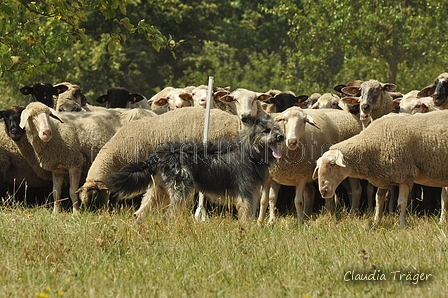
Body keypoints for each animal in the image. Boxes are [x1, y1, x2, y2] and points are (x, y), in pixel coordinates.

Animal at [18, 102, 156, 214]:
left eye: (48, 115)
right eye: (32, 116)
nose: (47, 133)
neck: (56, 130)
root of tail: (151, 113)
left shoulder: (75, 163)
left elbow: (72, 191)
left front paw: (76, 213)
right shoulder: (57, 168)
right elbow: (56, 192)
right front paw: (55, 213)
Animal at [106, 115, 284, 222]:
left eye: (277, 128)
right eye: (266, 130)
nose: (281, 136)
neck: (250, 151)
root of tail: (162, 153)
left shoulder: (252, 193)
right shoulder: (246, 193)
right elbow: (246, 215)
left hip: (158, 191)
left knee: (140, 212)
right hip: (181, 190)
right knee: (168, 215)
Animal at [314, 110, 448, 227]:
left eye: (332, 163)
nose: (323, 191)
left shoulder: (405, 174)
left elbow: (401, 204)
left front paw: (402, 225)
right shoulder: (384, 176)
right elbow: (378, 200)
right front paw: (376, 222)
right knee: (444, 198)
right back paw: (442, 222)